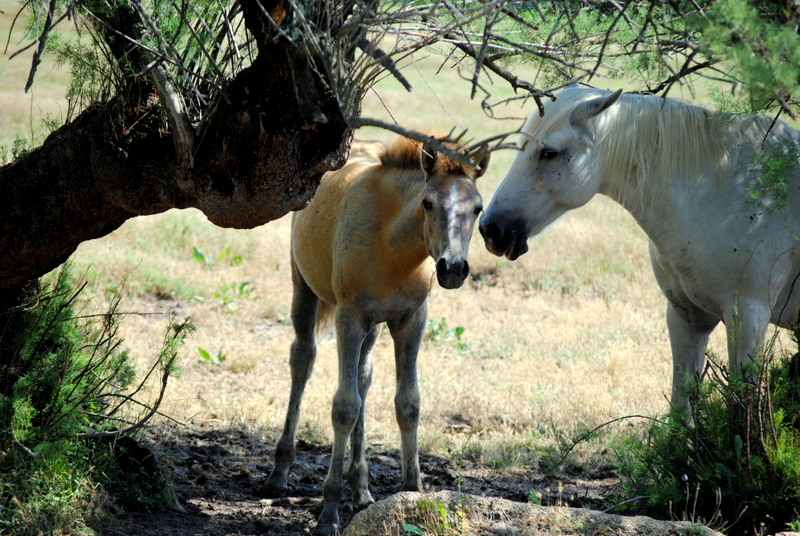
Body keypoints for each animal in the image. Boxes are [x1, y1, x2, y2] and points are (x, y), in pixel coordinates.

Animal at [478, 87, 800, 414]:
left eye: (549, 153)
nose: (490, 229)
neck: (723, 195)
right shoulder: (686, 316)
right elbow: (680, 409)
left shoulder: (747, 317)